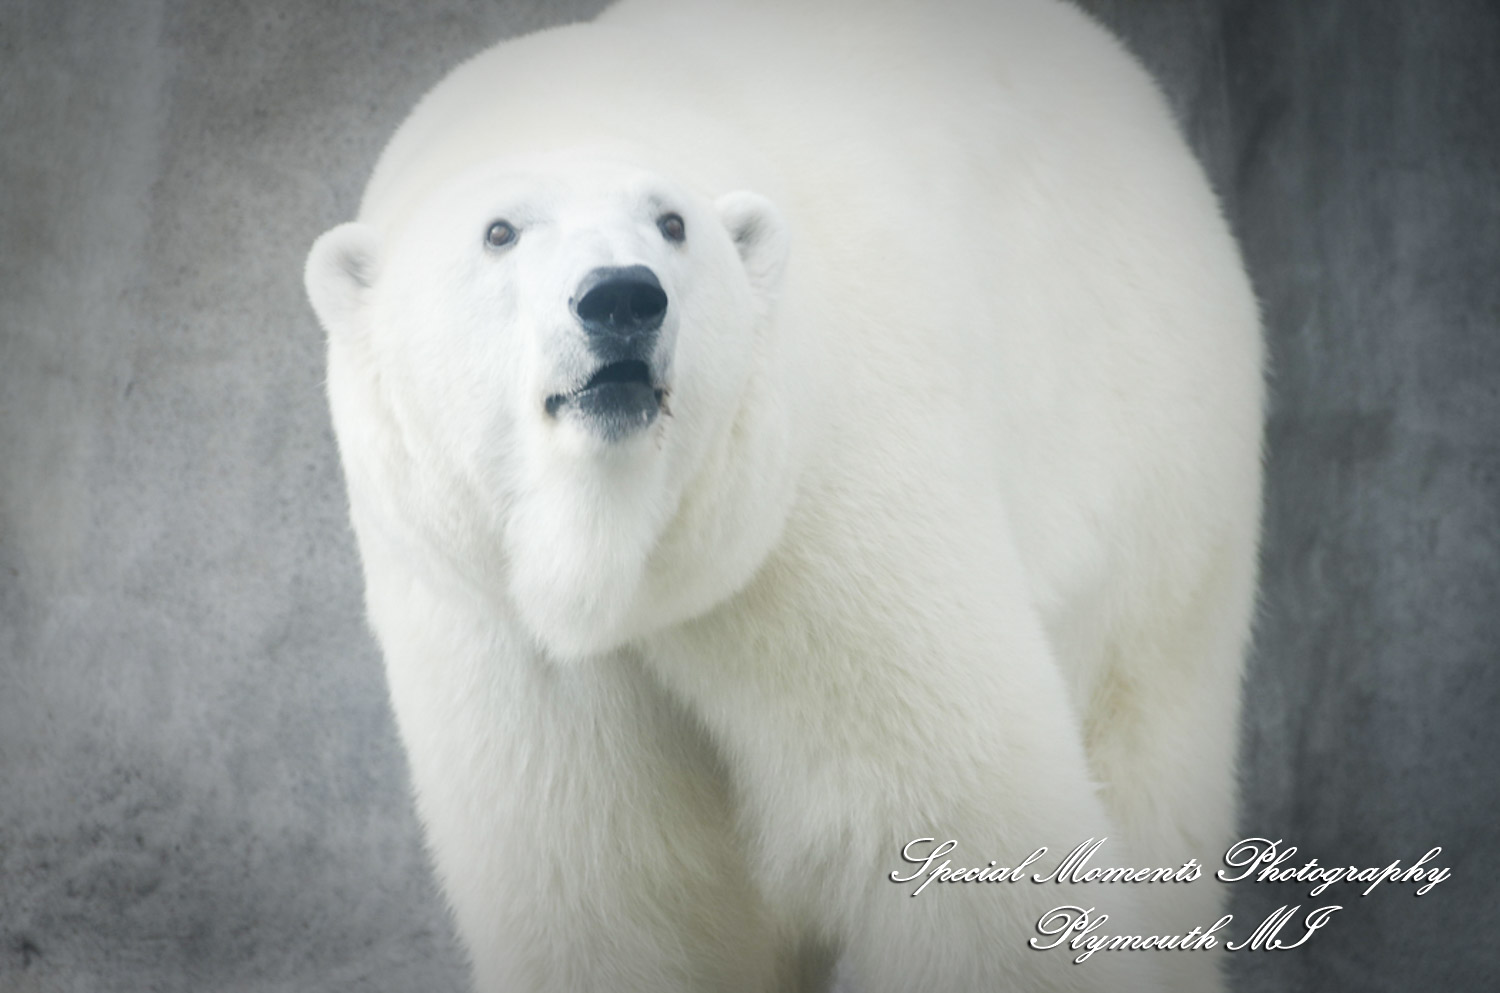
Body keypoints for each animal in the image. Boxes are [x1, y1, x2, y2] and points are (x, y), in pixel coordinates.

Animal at [303, 1, 1263, 991]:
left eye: (672, 222)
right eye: (499, 231)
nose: (622, 298)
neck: (620, 559)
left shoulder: (823, 502)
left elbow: (957, 815)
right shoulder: (492, 615)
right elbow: (600, 886)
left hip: (1157, 459)